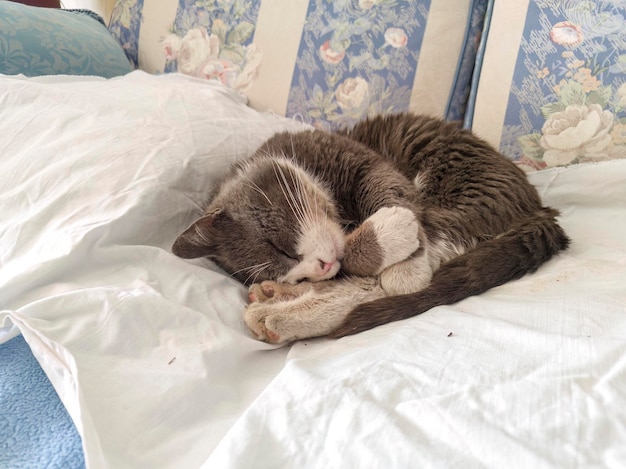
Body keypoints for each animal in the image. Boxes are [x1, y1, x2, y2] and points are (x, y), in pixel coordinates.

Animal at [173, 111, 568, 342]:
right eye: (291, 271)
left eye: (279, 248)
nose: (317, 270)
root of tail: (540, 209)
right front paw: (286, 288)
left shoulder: (362, 163)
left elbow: (390, 199)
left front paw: (390, 244)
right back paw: (276, 303)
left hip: (467, 185)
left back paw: (278, 313)